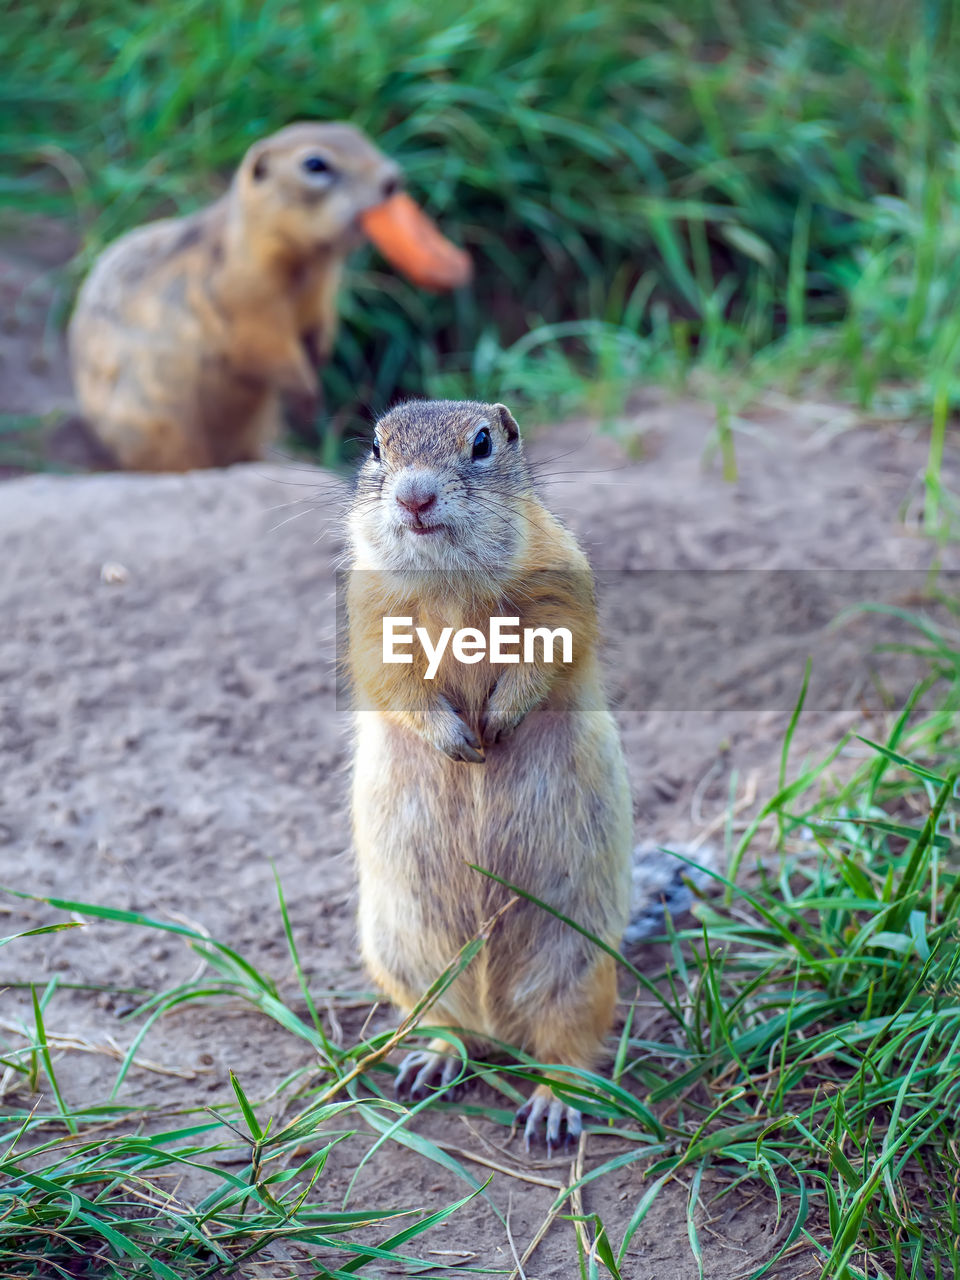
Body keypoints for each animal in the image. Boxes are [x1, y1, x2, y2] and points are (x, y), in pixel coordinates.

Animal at [68, 122, 473, 473]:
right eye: (315, 164)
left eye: (360, 135)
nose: (393, 179)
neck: (306, 267)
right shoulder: (244, 296)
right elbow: (262, 347)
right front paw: (308, 396)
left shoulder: (320, 294)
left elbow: (318, 328)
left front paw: (318, 362)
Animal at [343, 396, 632, 1152]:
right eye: (376, 448)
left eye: (481, 443)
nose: (414, 497)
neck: (451, 584)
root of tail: (496, 1016)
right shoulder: (368, 617)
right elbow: (391, 678)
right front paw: (460, 742)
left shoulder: (560, 587)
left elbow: (551, 648)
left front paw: (498, 723)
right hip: (404, 960)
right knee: (452, 1028)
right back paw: (429, 1064)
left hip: (580, 969)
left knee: (568, 1053)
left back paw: (550, 1110)